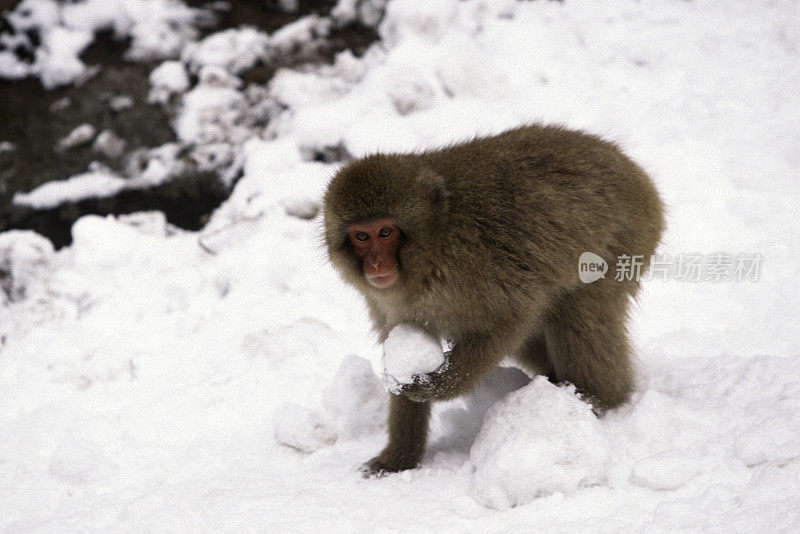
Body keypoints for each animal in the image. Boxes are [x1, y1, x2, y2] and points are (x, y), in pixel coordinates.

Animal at [322, 125, 664, 478]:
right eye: (362, 236)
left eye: (385, 232)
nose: (376, 265)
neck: (435, 242)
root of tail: (633, 171)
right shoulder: (386, 300)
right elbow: (402, 341)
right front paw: (398, 457)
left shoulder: (473, 266)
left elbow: (511, 318)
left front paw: (433, 388)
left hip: (622, 241)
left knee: (575, 314)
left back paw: (598, 402)